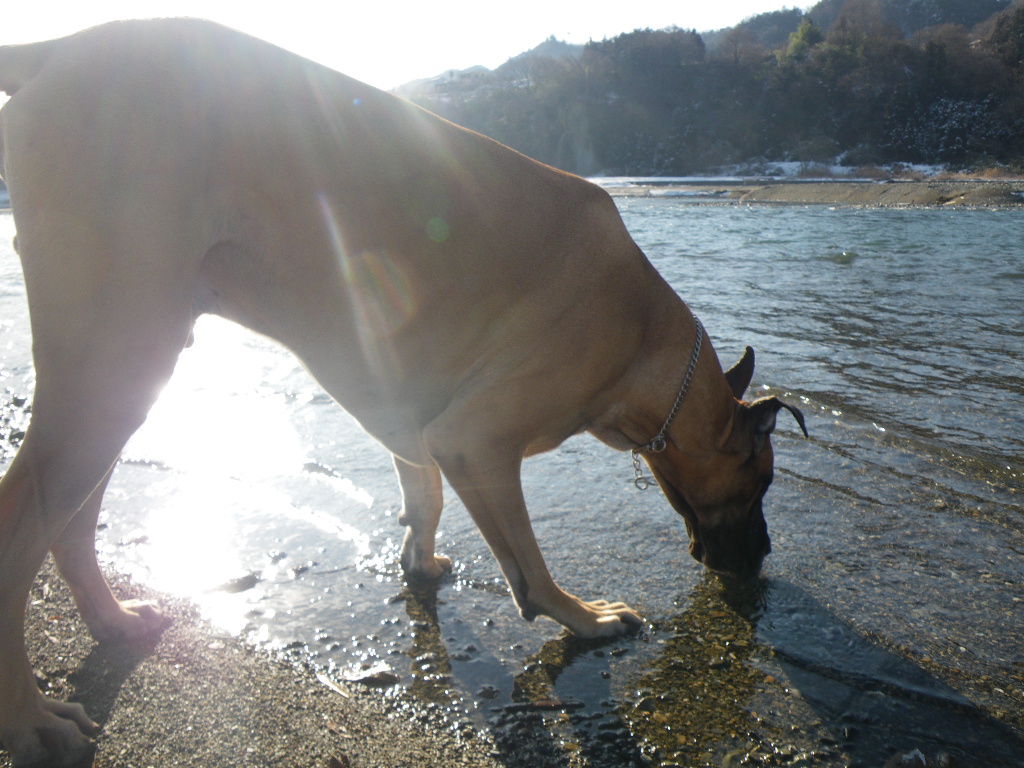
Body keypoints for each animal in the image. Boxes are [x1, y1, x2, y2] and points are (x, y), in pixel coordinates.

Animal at [0, 19, 802, 768]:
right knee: (22, 525)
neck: (645, 348)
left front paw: (421, 560)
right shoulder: (476, 441)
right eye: (760, 483)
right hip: (112, 361)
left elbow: (424, 493)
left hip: (124, 371)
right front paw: (585, 618)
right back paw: (32, 721)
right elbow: (528, 568)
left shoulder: (414, 414)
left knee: (70, 520)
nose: (762, 557)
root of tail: (62, 46)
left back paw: (111, 620)